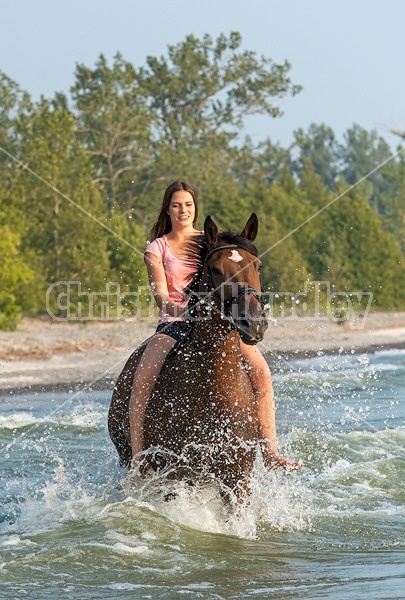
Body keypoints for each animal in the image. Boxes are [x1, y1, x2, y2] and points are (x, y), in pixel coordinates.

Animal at [108, 213, 268, 500]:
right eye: (215, 270)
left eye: (257, 266)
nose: (254, 323)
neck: (213, 390)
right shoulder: (176, 476)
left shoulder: (238, 481)